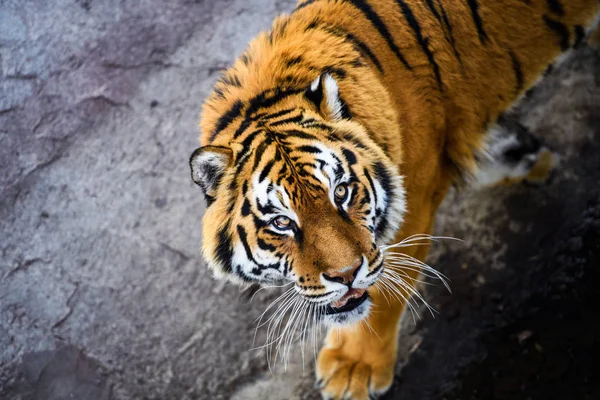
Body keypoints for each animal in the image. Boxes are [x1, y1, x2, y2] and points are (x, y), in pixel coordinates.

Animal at [189, 0, 600, 396]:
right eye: (281, 222)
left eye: (341, 192)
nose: (345, 275)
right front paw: (524, 156)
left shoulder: (414, 202)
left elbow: (384, 294)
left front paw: (354, 369)